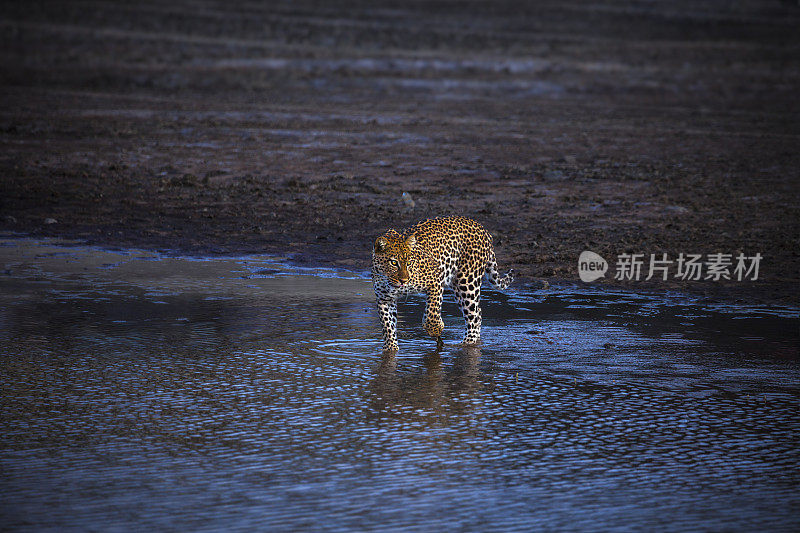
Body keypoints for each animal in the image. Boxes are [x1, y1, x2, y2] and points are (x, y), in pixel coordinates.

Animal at [372, 214, 516, 352]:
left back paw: (468, 343)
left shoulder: (435, 280)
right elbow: (387, 325)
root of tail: (482, 229)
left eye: (409, 263)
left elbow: (432, 313)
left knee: (474, 315)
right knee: (477, 313)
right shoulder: (384, 299)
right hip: (457, 288)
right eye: (393, 262)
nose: (404, 280)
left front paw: (436, 329)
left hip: (467, 282)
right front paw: (390, 349)